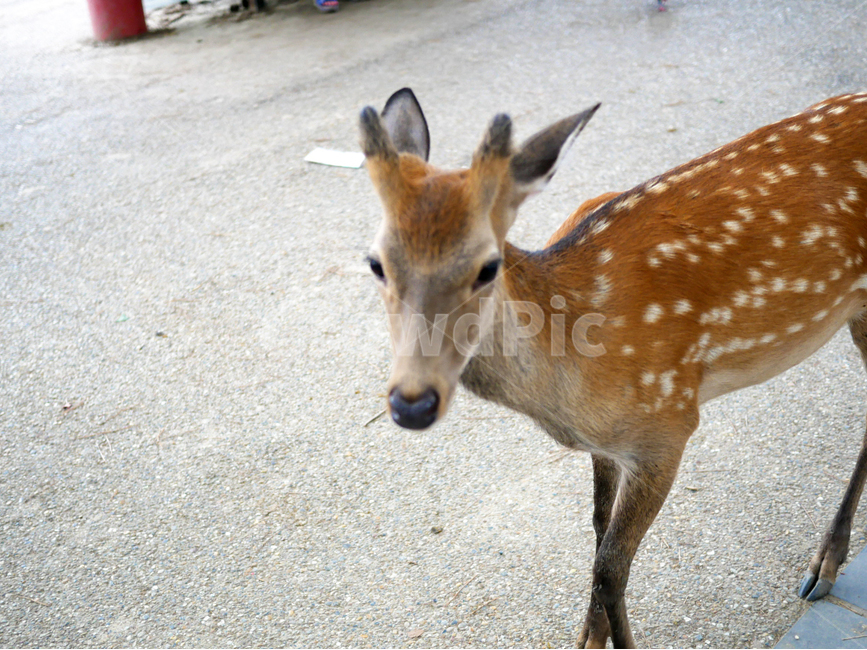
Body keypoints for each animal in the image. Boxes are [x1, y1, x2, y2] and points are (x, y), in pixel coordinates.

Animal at [358, 87, 867, 648]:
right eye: (376, 263)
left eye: (487, 267)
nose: (412, 402)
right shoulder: (605, 443)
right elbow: (598, 530)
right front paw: (588, 636)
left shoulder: (667, 424)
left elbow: (610, 567)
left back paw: (824, 565)